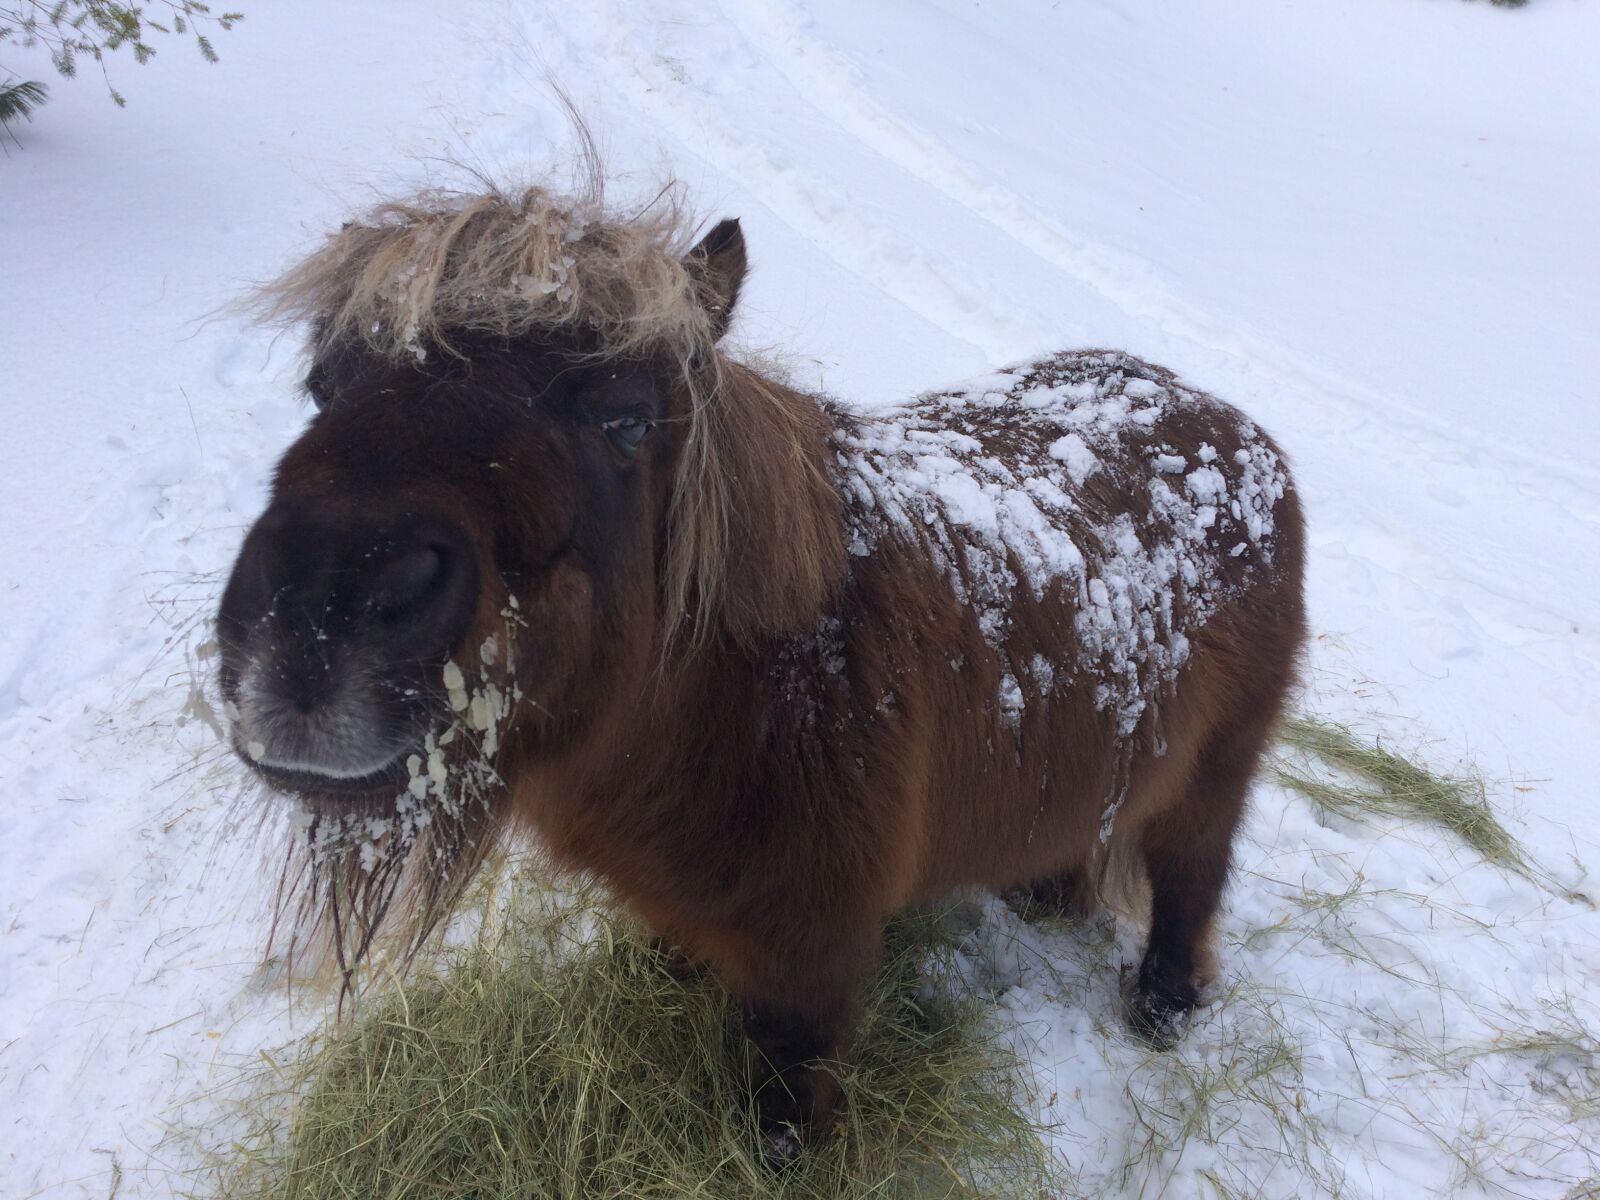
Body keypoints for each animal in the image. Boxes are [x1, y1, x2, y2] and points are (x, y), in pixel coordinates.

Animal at [218, 181, 1305, 1158]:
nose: (320, 605)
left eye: (625, 418)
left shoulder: (811, 961)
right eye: (324, 383)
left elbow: (784, 1103)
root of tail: (1231, 425)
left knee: (1190, 875)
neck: (757, 694)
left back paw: (1163, 1004)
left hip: (1214, 779)